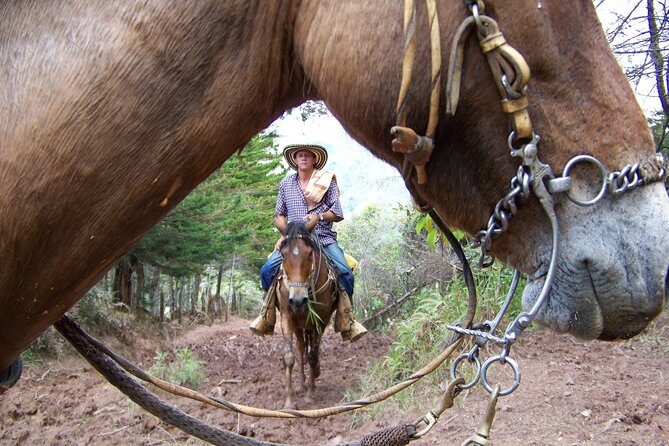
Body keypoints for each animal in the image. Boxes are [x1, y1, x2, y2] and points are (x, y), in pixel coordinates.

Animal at [275, 222, 337, 410]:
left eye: (310, 253)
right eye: (283, 254)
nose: (297, 301)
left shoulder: (321, 319)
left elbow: (313, 355)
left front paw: (310, 392)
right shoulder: (287, 316)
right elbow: (289, 356)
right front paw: (289, 402)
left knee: (312, 350)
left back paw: (314, 375)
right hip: (299, 324)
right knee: (301, 347)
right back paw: (302, 383)